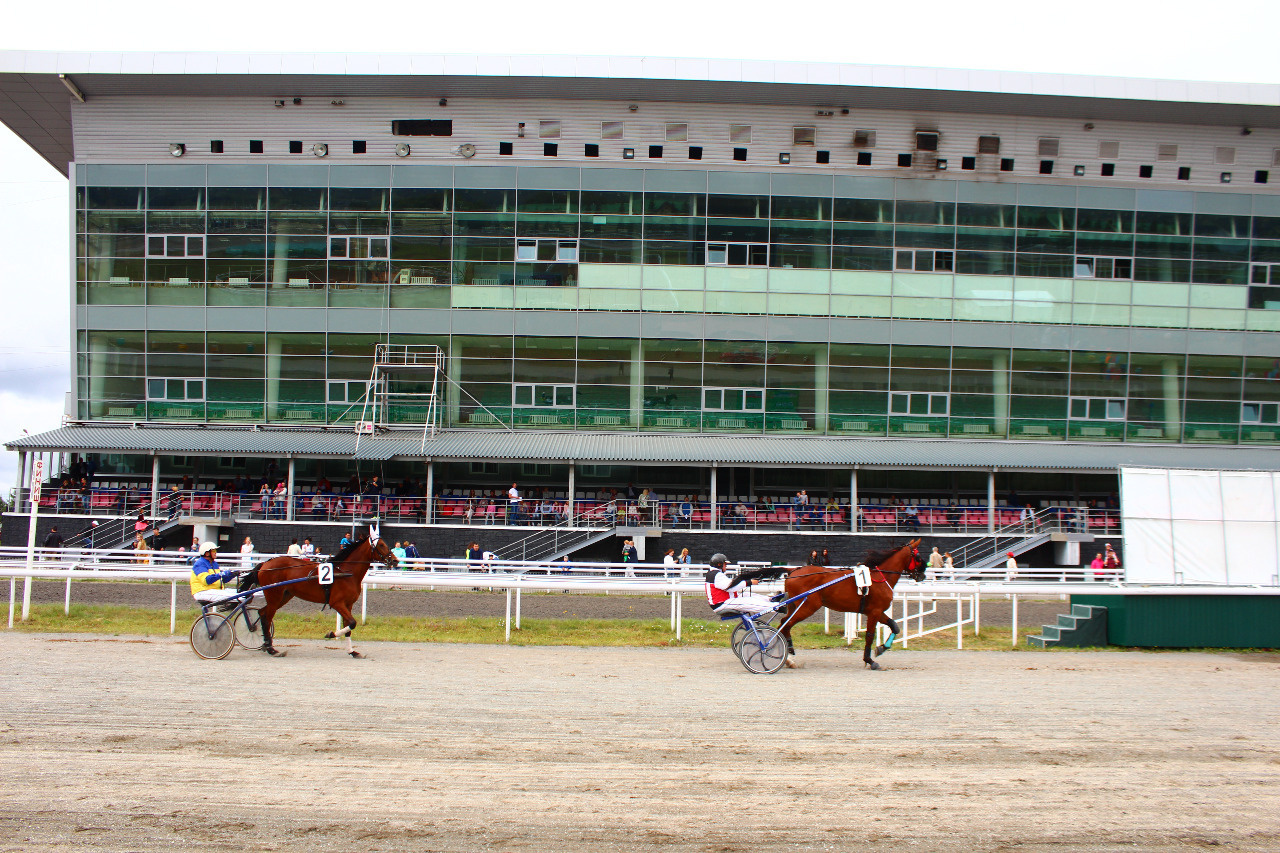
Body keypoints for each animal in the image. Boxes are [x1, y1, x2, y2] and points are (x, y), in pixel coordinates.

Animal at [243, 525, 394, 655]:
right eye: (381, 545)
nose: (395, 560)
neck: (345, 572)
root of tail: (264, 564)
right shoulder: (337, 603)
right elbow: (352, 623)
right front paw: (331, 634)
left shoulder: (348, 604)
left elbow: (349, 627)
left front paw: (352, 651)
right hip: (274, 596)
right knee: (267, 617)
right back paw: (270, 648)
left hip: (284, 596)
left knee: (262, 613)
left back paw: (265, 644)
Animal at [773, 540, 926, 666]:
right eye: (918, 557)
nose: (923, 574)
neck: (881, 577)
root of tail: (793, 571)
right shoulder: (875, 612)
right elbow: (870, 635)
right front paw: (869, 660)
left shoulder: (876, 611)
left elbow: (894, 627)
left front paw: (882, 648)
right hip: (807, 607)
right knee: (786, 625)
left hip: (795, 606)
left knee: (783, 624)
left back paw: (787, 655)